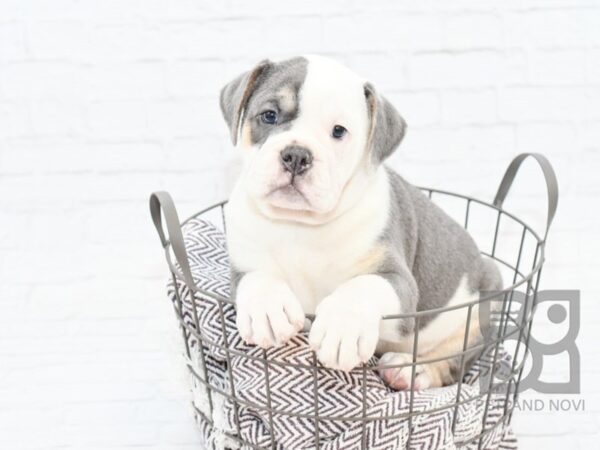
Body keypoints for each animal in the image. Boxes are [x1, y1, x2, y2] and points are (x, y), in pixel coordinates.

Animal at [218, 54, 500, 388]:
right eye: (269, 115)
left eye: (339, 131)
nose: (297, 155)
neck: (301, 225)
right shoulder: (242, 264)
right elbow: (257, 277)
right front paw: (267, 308)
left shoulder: (398, 282)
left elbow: (363, 286)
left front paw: (342, 326)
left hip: (484, 302)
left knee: (454, 362)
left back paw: (411, 370)